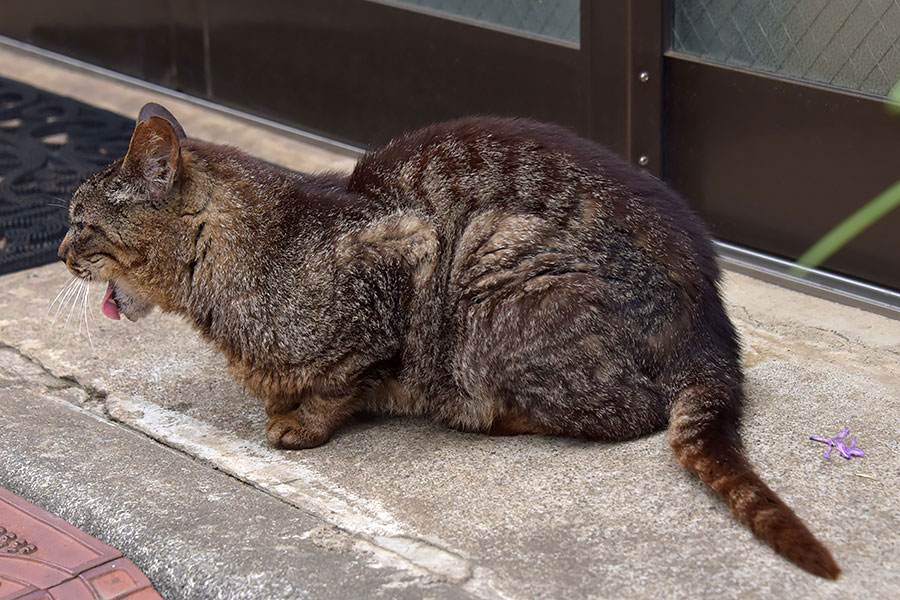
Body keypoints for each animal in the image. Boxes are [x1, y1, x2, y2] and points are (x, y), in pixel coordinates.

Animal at [59, 102, 840, 576]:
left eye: (80, 223)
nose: (61, 253)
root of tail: (713, 324)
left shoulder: (400, 262)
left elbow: (342, 382)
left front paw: (301, 422)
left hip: (489, 260)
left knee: (631, 411)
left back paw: (485, 415)